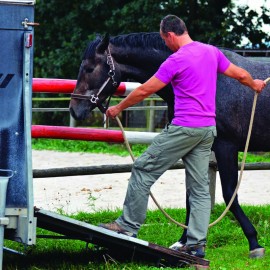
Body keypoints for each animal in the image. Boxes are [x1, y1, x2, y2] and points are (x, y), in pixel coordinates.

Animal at [70, 32, 270, 258]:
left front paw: (254, 242)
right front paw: (184, 242)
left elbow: (229, 194)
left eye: (89, 68)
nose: (74, 109)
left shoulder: (226, 146)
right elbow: (191, 196)